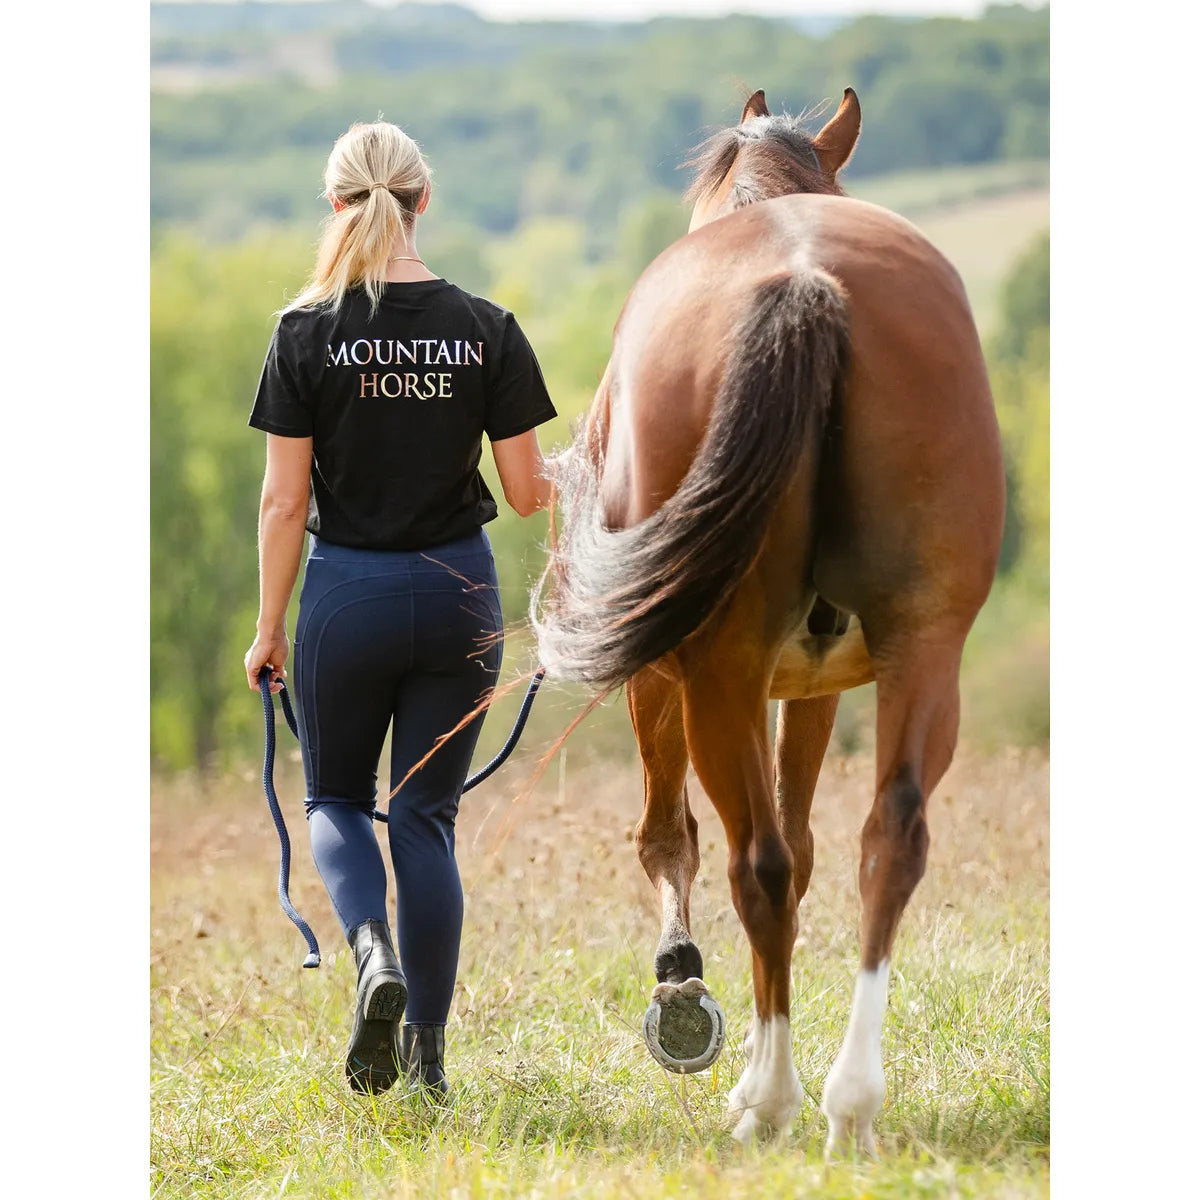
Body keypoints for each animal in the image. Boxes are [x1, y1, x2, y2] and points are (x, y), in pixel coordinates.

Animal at [532, 86, 1005, 1153]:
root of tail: (806, 282)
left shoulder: (670, 678)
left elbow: (671, 839)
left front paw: (686, 998)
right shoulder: (818, 687)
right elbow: (815, 842)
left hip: (717, 670)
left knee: (759, 864)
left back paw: (776, 1097)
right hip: (926, 649)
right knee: (889, 839)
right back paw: (852, 1102)